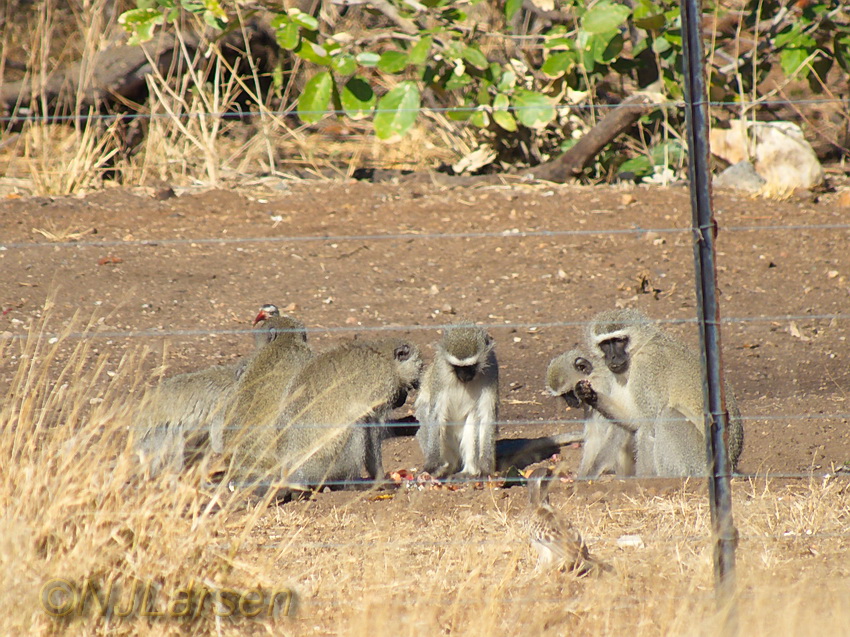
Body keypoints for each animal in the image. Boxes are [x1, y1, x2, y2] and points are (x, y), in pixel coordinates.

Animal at [229, 338, 420, 492]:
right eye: (412, 385)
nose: (403, 399)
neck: (385, 357)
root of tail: (293, 472)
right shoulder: (382, 388)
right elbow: (372, 427)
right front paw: (380, 478)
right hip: (326, 465)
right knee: (357, 425)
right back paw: (352, 484)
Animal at [416, 326, 500, 480]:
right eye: (457, 367)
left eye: (471, 366)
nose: (464, 376)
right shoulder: (440, 371)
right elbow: (436, 414)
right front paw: (432, 466)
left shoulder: (492, 369)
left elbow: (487, 415)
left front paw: (486, 468)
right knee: (425, 414)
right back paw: (445, 467)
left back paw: (470, 471)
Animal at [548, 348, 632, 476]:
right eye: (563, 395)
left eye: (570, 392)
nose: (570, 403)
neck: (595, 377)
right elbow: (595, 435)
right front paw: (583, 474)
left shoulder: (603, 388)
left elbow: (619, 426)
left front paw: (593, 471)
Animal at [576, 308, 744, 476]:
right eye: (605, 344)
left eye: (619, 340)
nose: (612, 357)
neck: (640, 347)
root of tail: (731, 465)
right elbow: (633, 418)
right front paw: (588, 394)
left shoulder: (645, 366)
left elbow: (648, 426)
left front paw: (643, 478)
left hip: (699, 462)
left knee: (667, 416)